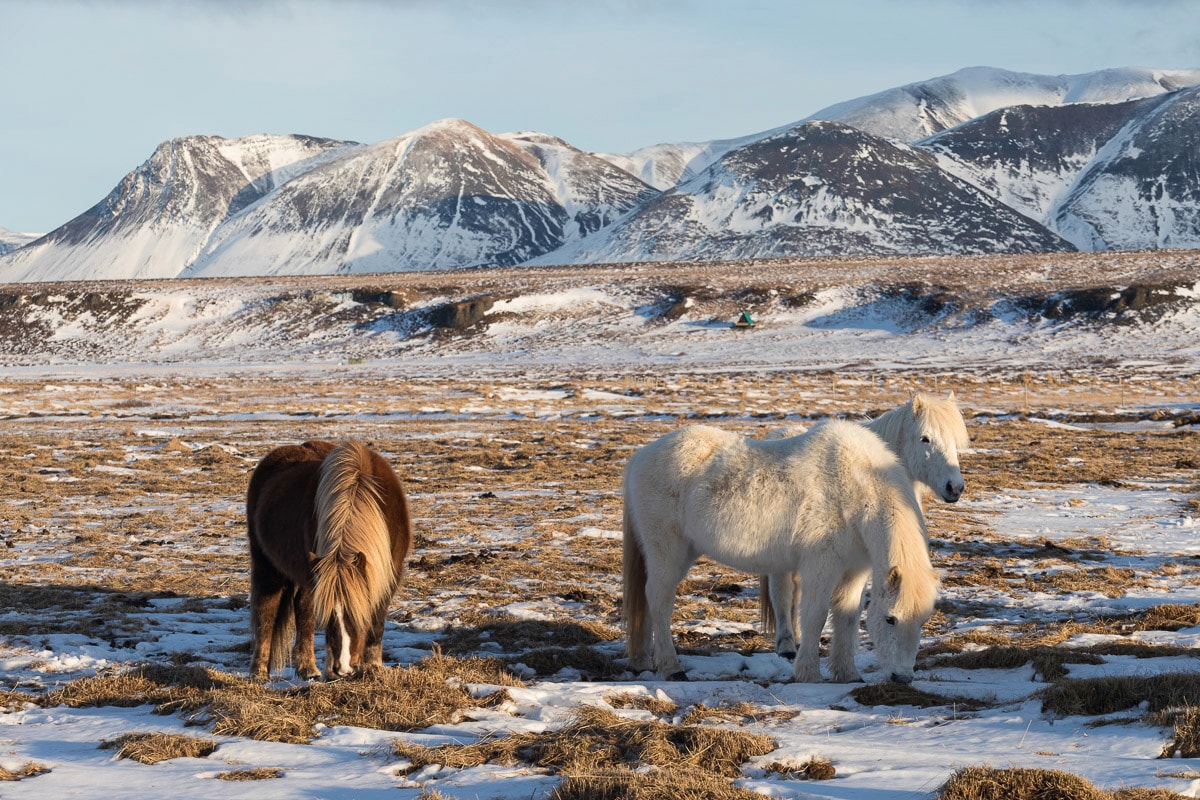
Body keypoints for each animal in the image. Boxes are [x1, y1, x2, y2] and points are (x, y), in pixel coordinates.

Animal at [246, 439, 412, 680]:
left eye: (356, 613)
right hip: (267, 567)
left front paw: (373, 667)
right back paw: (261, 671)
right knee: (268, 613)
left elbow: (377, 623)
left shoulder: (389, 575)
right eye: (329, 616)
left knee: (302, 613)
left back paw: (307, 669)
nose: (343, 668)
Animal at [622, 418, 939, 684]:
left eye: (923, 620)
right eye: (890, 618)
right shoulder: (820, 564)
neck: (857, 488)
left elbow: (847, 617)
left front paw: (848, 674)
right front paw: (808, 674)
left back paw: (643, 661)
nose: (902, 677)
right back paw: (671, 667)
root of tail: (640, 457)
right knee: (659, 599)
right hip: (667, 551)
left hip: (684, 550)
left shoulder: (854, 570)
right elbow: (814, 615)